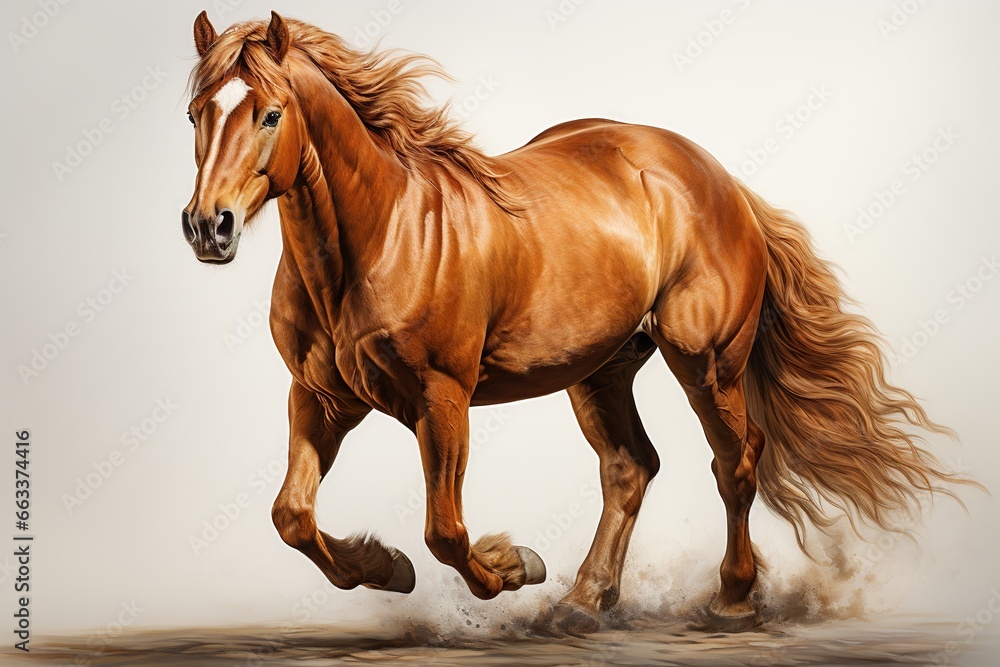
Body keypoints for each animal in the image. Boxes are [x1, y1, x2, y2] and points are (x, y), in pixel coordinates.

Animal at [181, 11, 973, 634]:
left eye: (270, 113)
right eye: (196, 114)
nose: (207, 227)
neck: (381, 235)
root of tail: (720, 180)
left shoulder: (442, 396)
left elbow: (446, 530)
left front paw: (514, 565)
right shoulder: (321, 396)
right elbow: (292, 515)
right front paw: (387, 566)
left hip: (707, 361)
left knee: (736, 460)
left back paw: (731, 599)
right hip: (603, 369)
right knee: (631, 466)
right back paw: (583, 601)